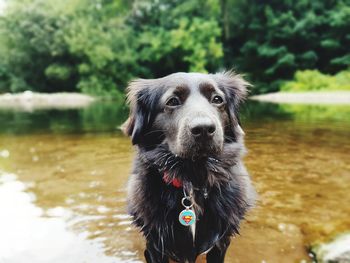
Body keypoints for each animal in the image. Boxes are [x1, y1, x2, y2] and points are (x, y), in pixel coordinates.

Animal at [122, 72, 254, 263]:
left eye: (217, 99)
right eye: (172, 101)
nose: (204, 129)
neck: (192, 178)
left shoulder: (220, 245)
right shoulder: (154, 246)